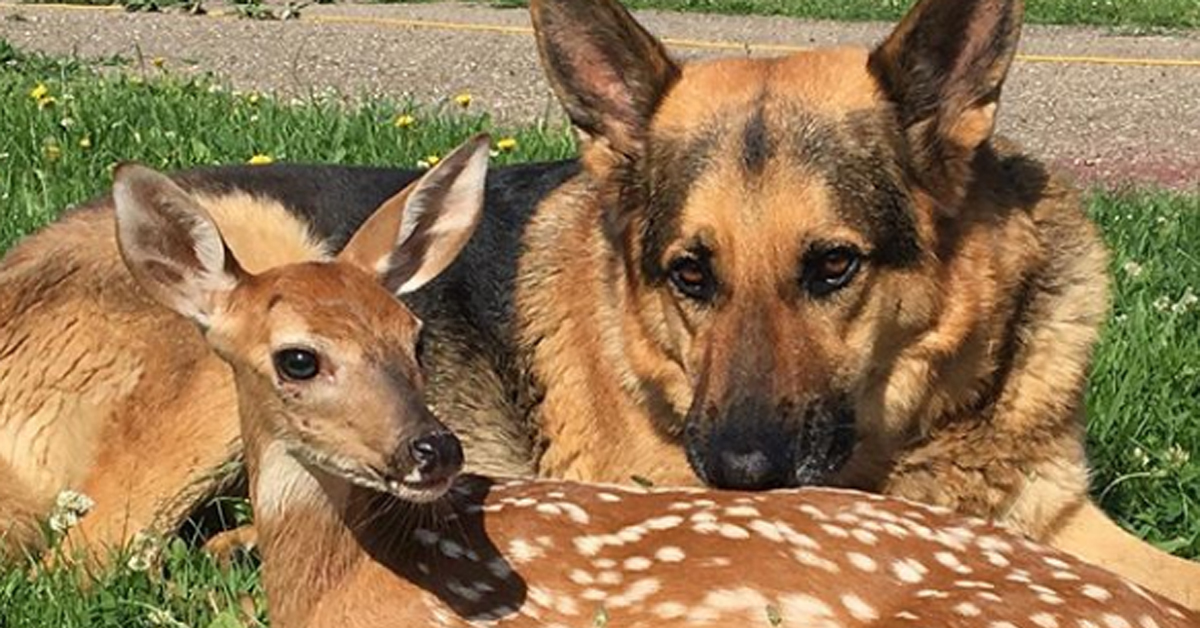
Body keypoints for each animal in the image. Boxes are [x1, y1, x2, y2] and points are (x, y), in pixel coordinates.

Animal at [2, 0, 1200, 609]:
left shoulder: (1054, 509)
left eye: (835, 264)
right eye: (687, 270)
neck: (908, 446)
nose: (744, 469)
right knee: (80, 555)